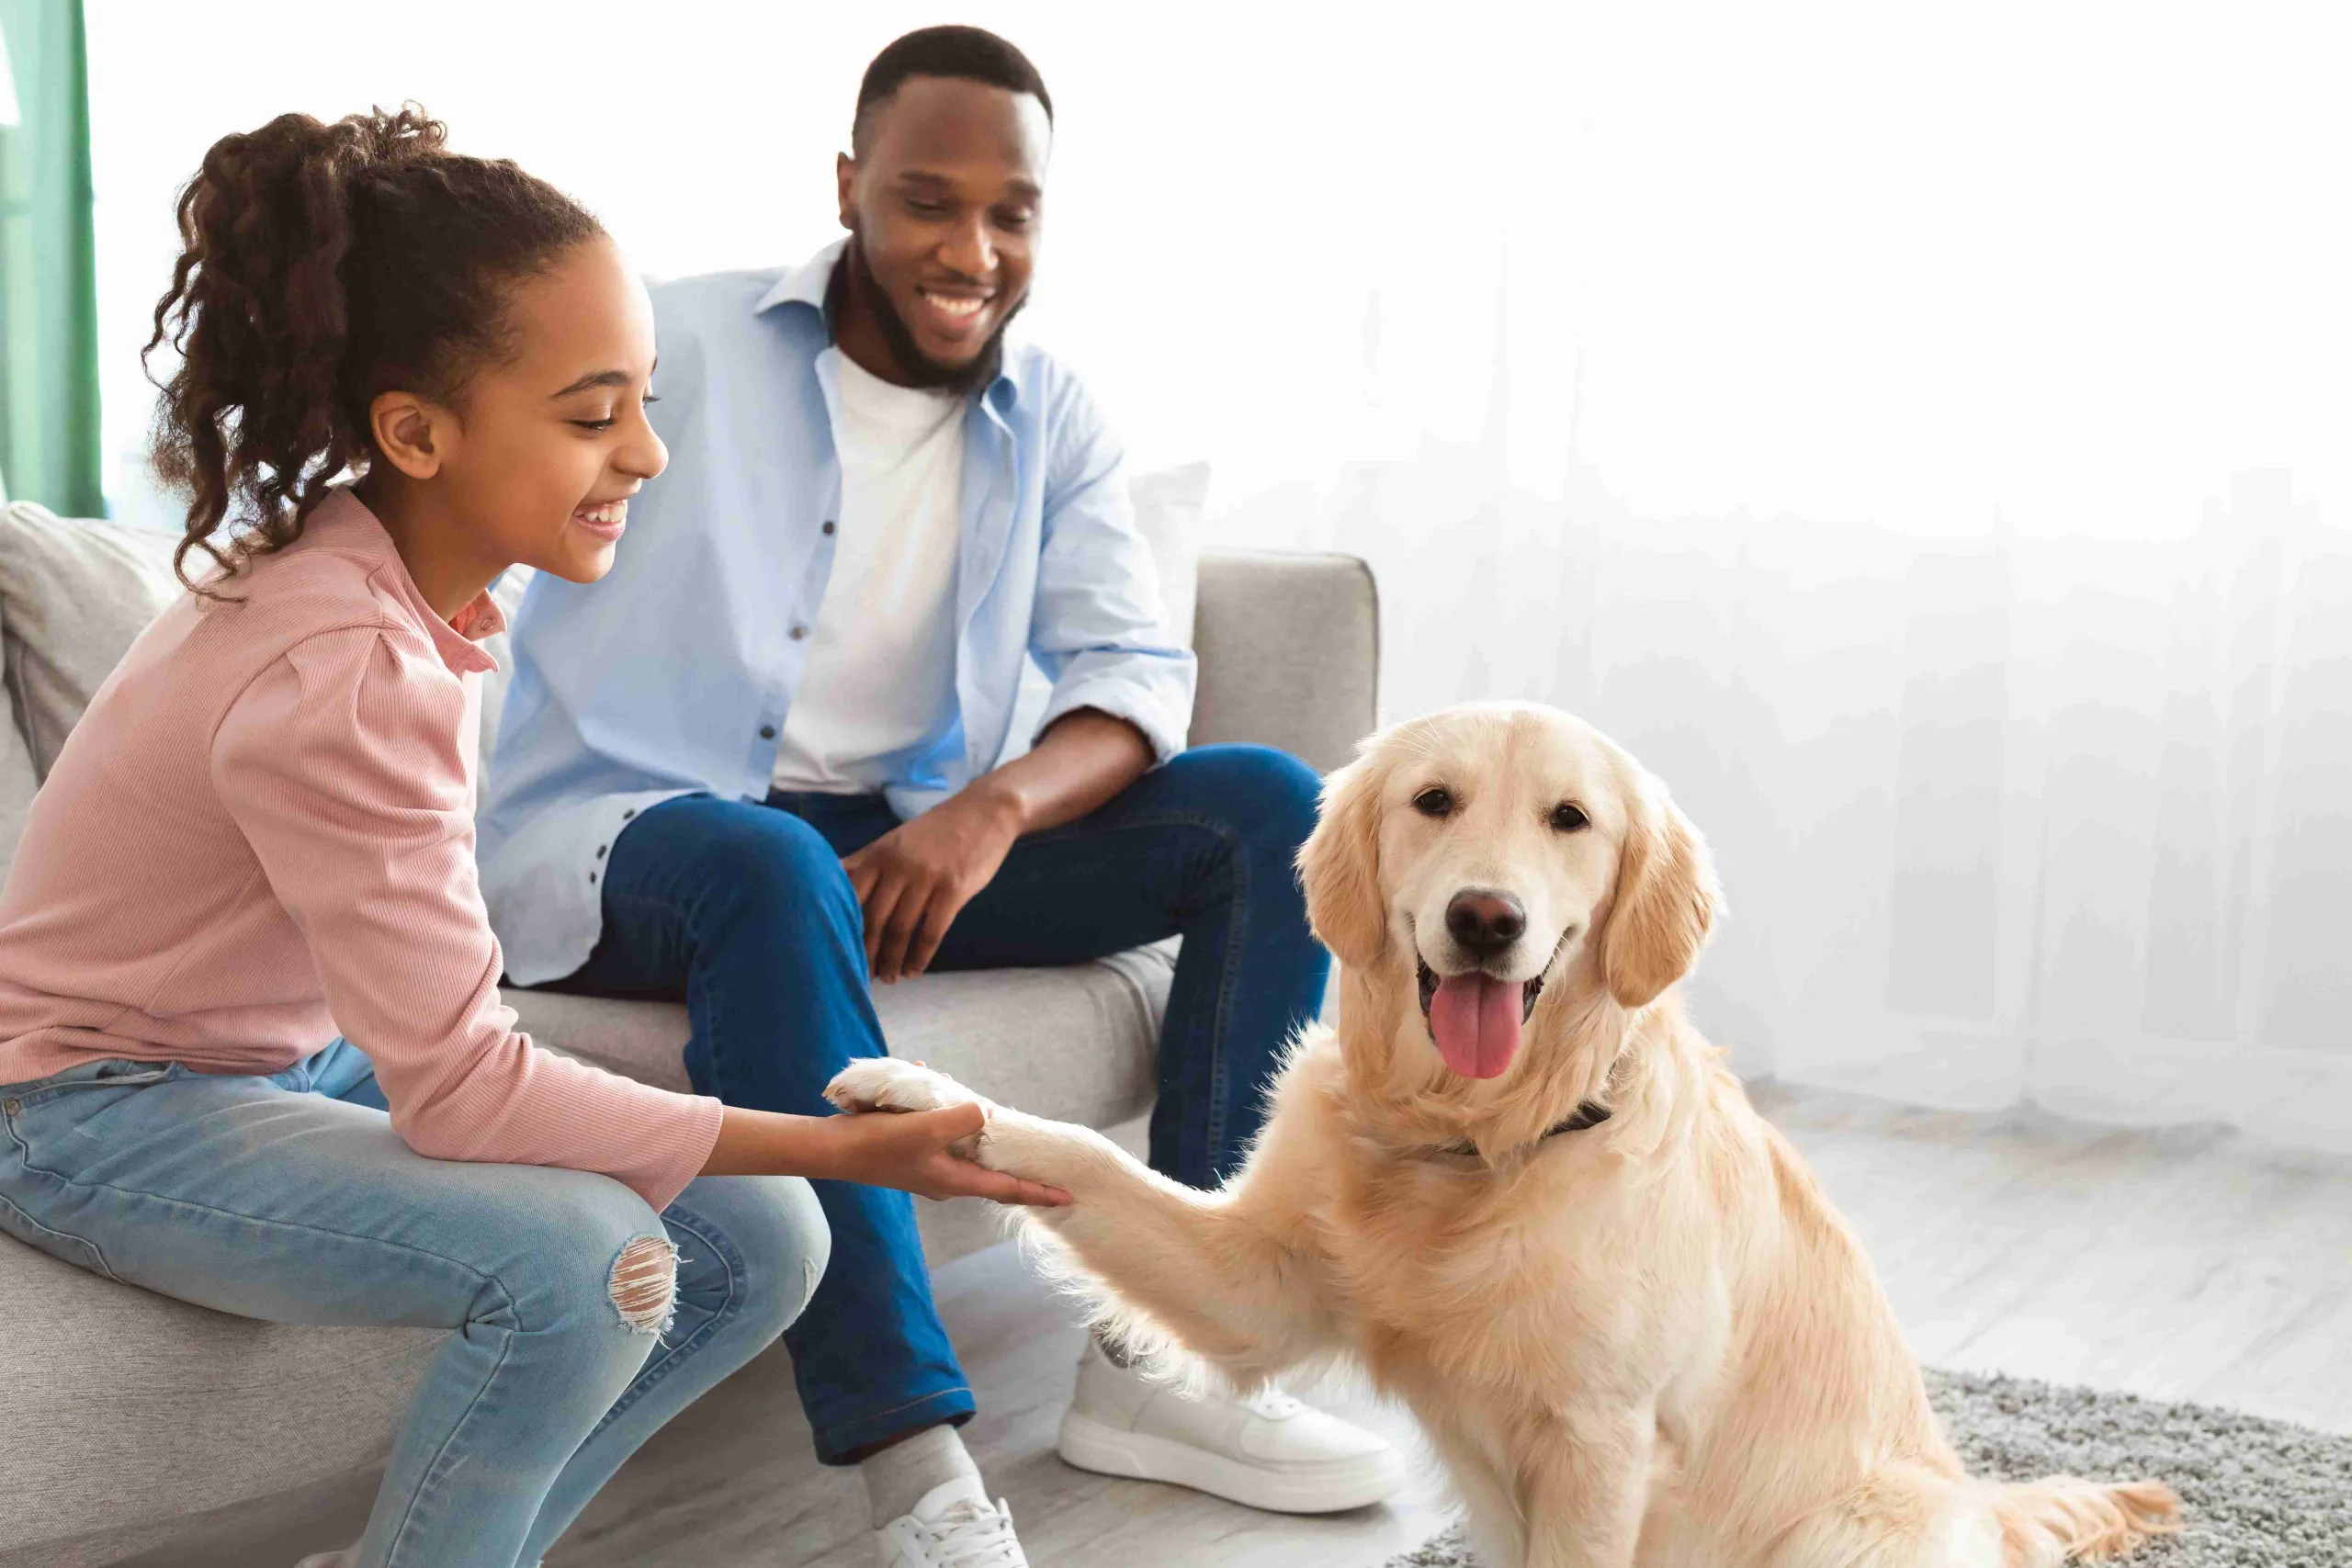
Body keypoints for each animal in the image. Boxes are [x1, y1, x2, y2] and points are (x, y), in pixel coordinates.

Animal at [832, 705, 2182, 1561]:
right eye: (1435, 801)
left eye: (1570, 819)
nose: (1488, 918)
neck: (1477, 1139)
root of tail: (1990, 1506)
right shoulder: (1259, 1284)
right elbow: (1087, 1151)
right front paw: (917, 1088)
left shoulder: (1600, 1442)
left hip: (1848, 1534)